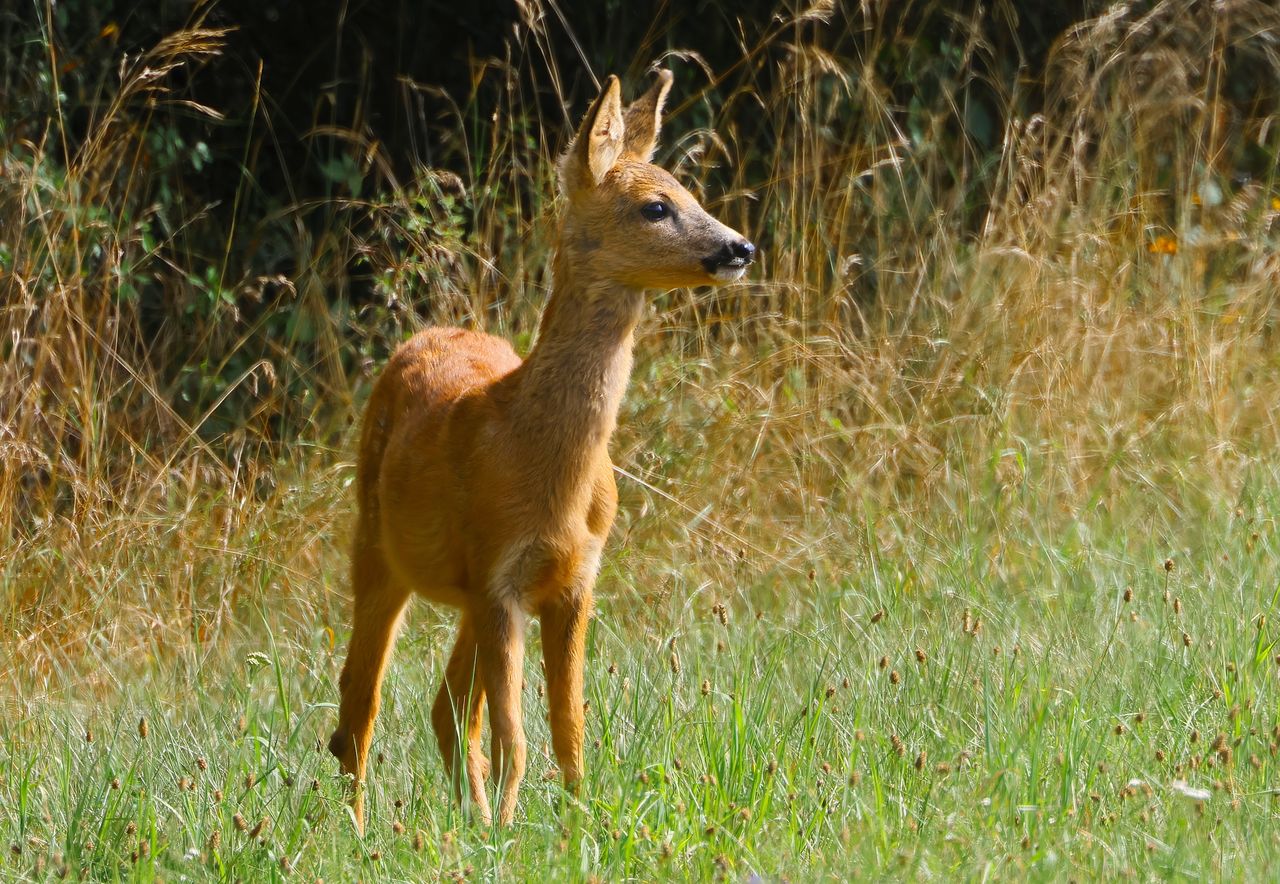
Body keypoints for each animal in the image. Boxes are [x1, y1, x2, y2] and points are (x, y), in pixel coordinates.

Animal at [328, 69, 755, 831]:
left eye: (693, 194)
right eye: (656, 207)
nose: (740, 248)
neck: (548, 466)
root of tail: (426, 334)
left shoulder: (573, 579)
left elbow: (567, 727)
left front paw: (578, 825)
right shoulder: (500, 577)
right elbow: (516, 734)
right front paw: (510, 831)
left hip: (465, 594)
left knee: (445, 707)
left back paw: (466, 817)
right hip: (378, 548)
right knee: (360, 700)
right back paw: (363, 827)